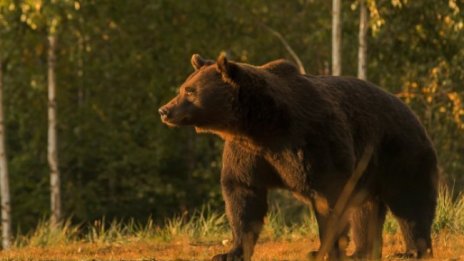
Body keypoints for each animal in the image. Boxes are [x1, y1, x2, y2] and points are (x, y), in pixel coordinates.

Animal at [160, 53, 438, 258]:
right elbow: (243, 194)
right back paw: (362, 251)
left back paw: (413, 250)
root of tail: (409, 109)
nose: (165, 110)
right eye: (183, 88)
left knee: (410, 199)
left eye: (190, 91)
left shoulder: (312, 141)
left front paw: (325, 249)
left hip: (400, 151)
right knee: (366, 209)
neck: (262, 126)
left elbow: (330, 197)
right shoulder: (248, 153)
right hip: (368, 171)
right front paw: (230, 252)